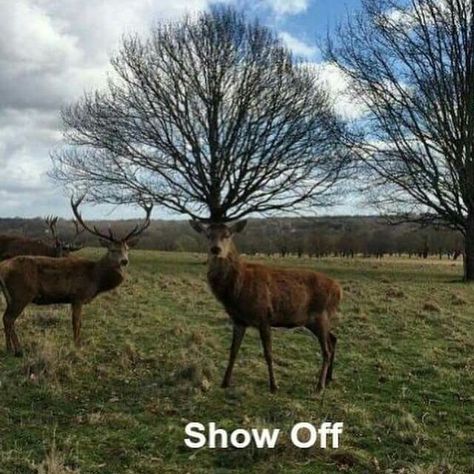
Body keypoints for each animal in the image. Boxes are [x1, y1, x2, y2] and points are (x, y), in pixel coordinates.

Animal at [0, 196, 152, 356]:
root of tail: (2, 267)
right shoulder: (78, 296)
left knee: (6, 318)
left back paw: (9, 348)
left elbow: (79, 323)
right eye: (111, 249)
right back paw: (18, 350)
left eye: (127, 249)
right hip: (22, 293)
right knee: (9, 319)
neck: (95, 278)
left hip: (10, 296)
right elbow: (76, 323)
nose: (124, 261)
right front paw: (77, 346)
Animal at [191, 220, 342, 394]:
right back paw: (329, 378)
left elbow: (268, 353)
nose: (216, 249)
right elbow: (233, 351)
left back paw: (319, 386)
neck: (237, 290)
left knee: (326, 350)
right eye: (208, 235)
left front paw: (274, 386)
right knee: (333, 338)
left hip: (320, 315)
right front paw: (224, 382)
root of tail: (339, 290)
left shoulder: (264, 316)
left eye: (227, 235)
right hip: (314, 320)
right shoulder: (238, 320)